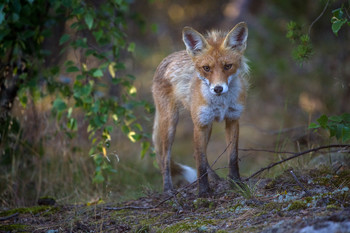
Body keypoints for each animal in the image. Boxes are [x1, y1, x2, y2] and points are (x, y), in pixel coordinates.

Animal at [151, 22, 249, 197]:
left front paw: (235, 183)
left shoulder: (232, 119)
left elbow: (232, 157)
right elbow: (201, 163)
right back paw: (168, 189)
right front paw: (203, 192)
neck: (221, 102)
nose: (218, 88)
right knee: (165, 158)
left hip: (206, 126)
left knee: (194, 153)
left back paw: (216, 179)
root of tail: (168, 58)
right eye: (206, 68)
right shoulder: (200, 124)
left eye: (228, 66)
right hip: (170, 123)